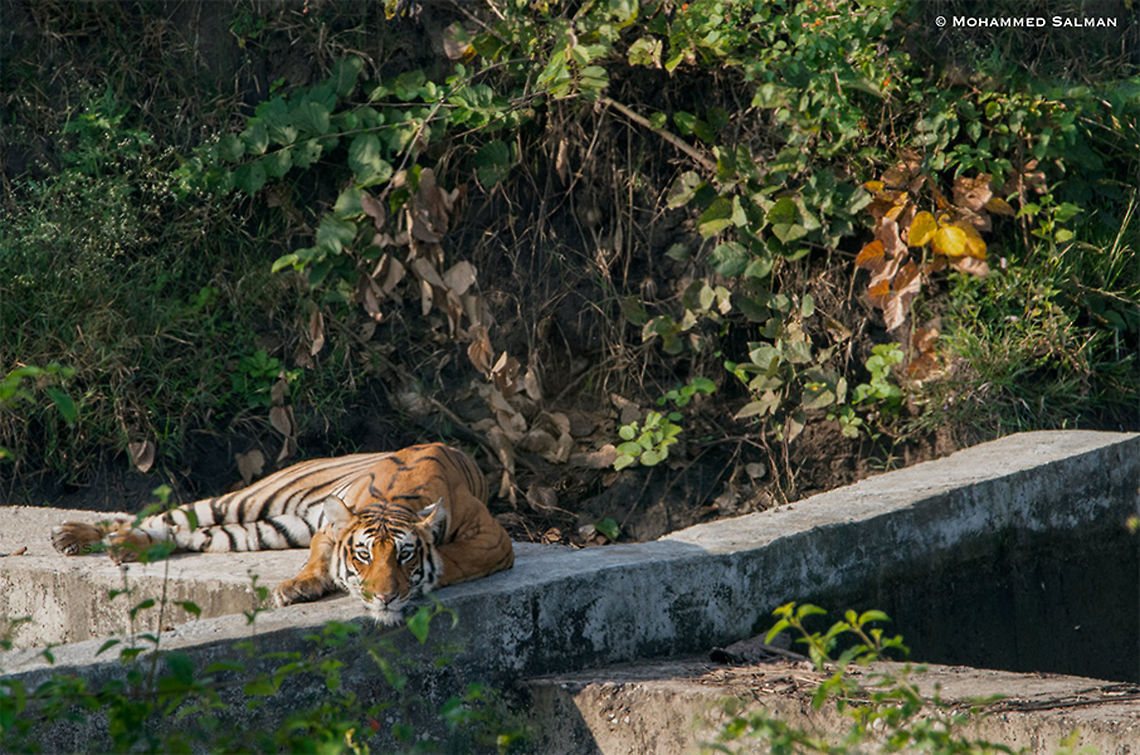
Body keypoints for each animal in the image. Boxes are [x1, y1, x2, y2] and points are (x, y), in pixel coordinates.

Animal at [50, 443, 514, 624]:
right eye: (364, 554)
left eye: (405, 555)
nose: (383, 597)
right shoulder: (329, 527)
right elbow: (318, 560)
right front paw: (297, 587)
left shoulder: (493, 539)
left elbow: (452, 559)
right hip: (245, 502)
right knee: (164, 517)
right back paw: (74, 533)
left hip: (263, 529)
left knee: (188, 535)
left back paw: (119, 546)